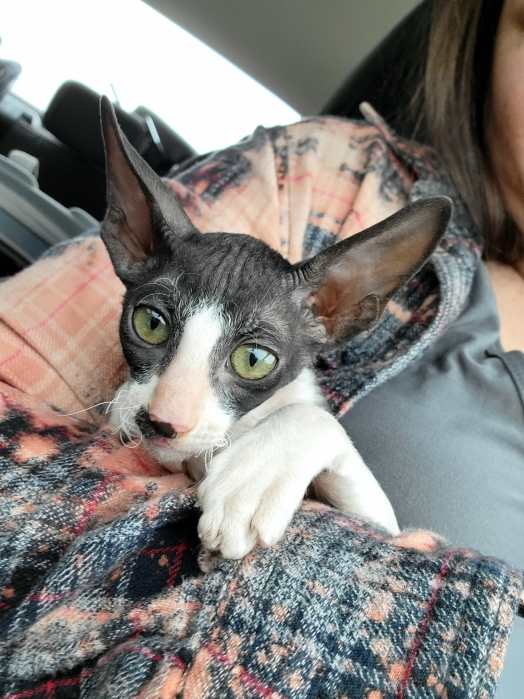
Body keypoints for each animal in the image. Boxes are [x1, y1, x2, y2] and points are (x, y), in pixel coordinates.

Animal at [98, 97, 450, 556]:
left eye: (254, 360)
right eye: (151, 323)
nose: (159, 422)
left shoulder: (386, 526)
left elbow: (316, 417)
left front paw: (249, 483)